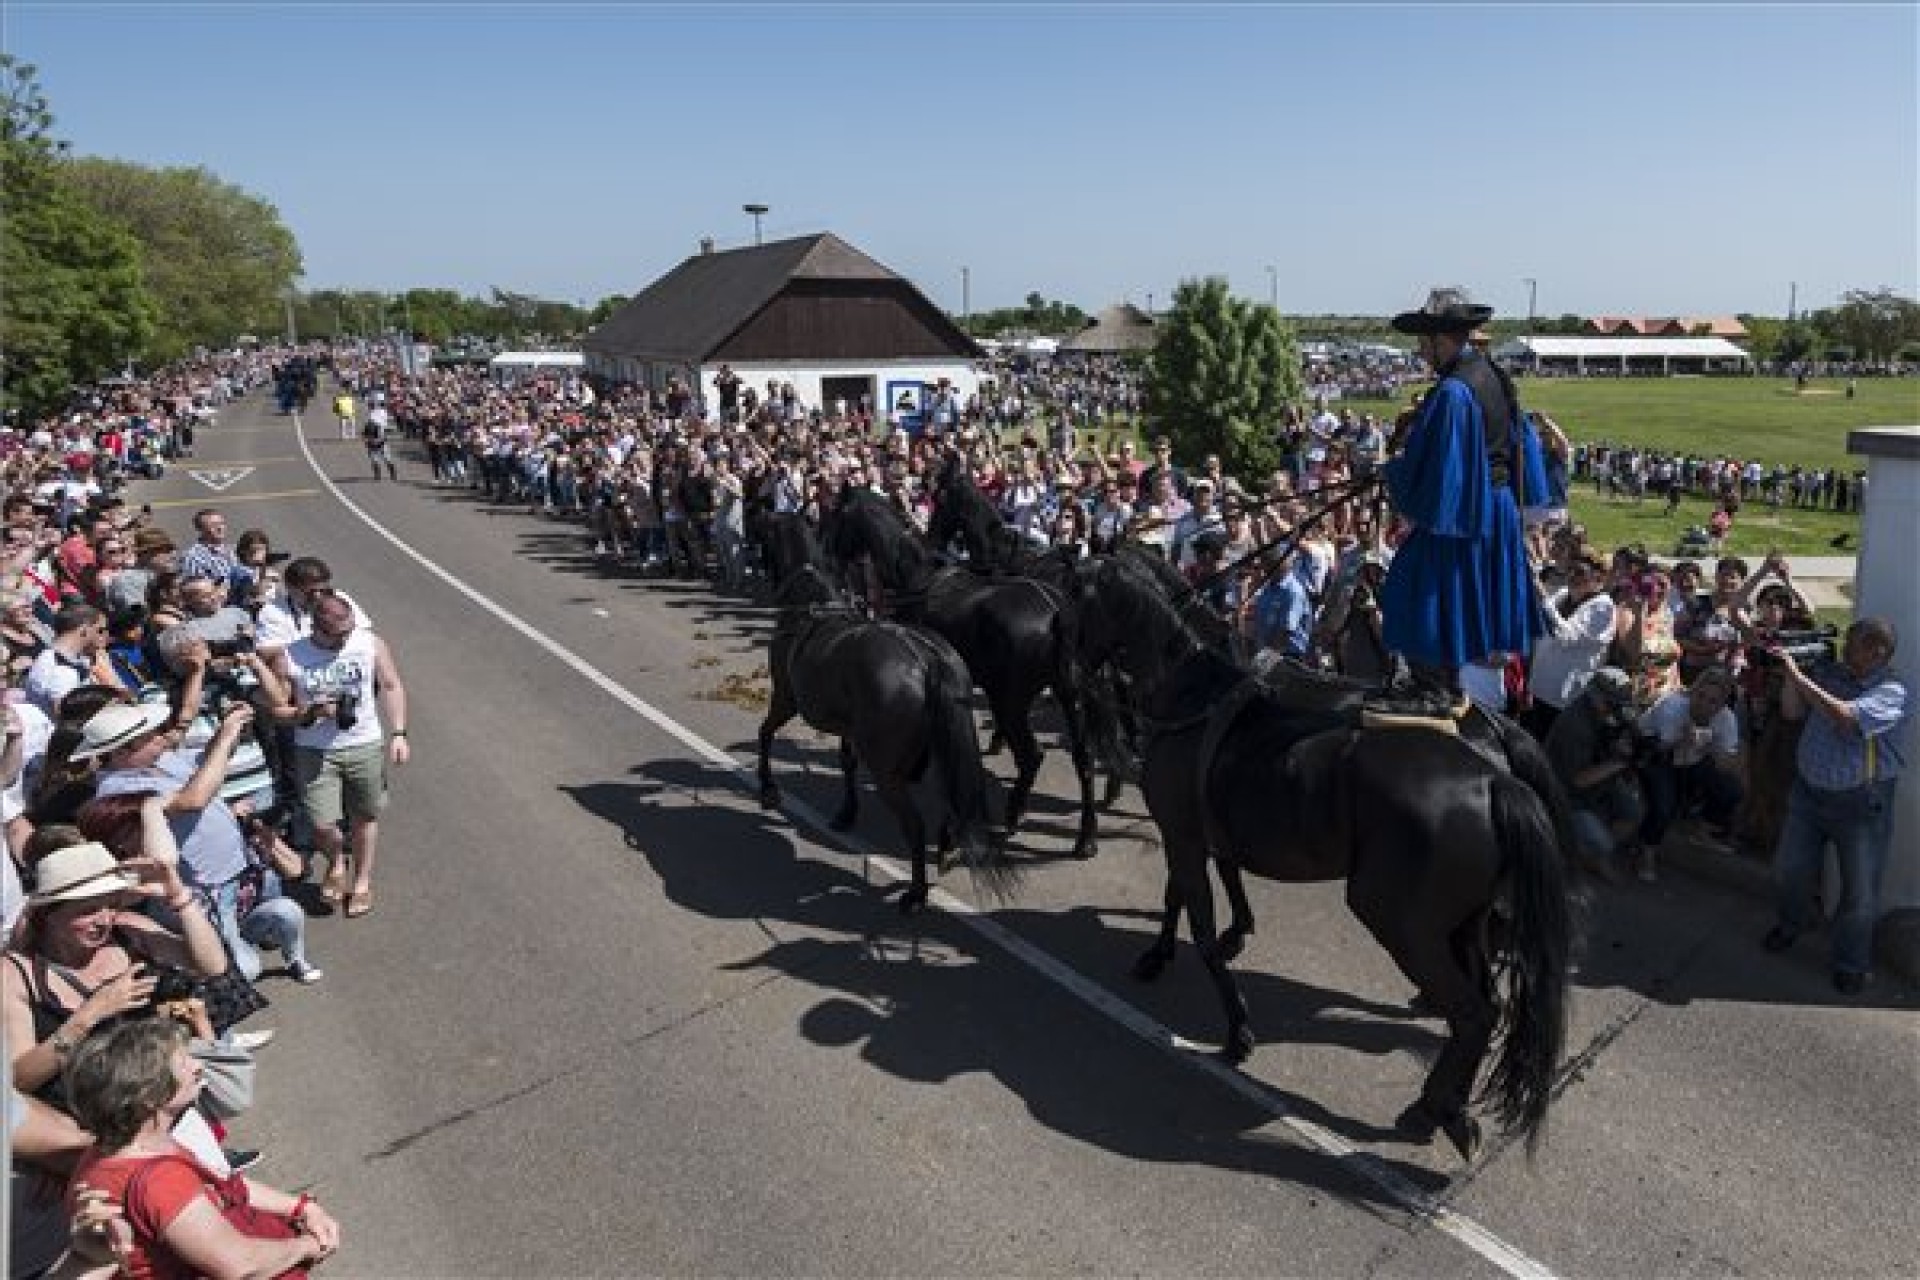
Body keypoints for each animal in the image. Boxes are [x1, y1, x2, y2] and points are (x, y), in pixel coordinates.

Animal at [752, 510, 1013, 909]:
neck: (813, 607)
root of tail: (927, 659)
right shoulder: (847, 727)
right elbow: (845, 761)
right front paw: (846, 812)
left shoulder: (785, 697)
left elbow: (765, 733)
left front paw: (768, 788)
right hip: (937, 752)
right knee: (950, 799)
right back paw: (947, 847)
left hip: (888, 772)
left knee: (914, 825)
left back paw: (916, 893)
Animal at [817, 491, 1105, 859]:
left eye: (837, 516)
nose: (826, 553)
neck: (916, 577)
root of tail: (1056, 610)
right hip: (1069, 695)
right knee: (1084, 759)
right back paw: (1086, 837)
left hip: (1009, 702)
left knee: (1031, 756)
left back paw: (1014, 814)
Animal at [1075, 556, 1566, 1159]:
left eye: (1076, 599)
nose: (1072, 663)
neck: (1194, 698)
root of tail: (1494, 780)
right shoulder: (1191, 831)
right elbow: (1190, 892)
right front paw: (1173, 950)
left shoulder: (1183, 835)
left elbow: (1200, 923)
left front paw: (1236, 1029)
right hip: (1462, 923)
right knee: (1486, 1003)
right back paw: (1448, 1107)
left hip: (1403, 921)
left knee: (1473, 1011)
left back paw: (1430, 1106)